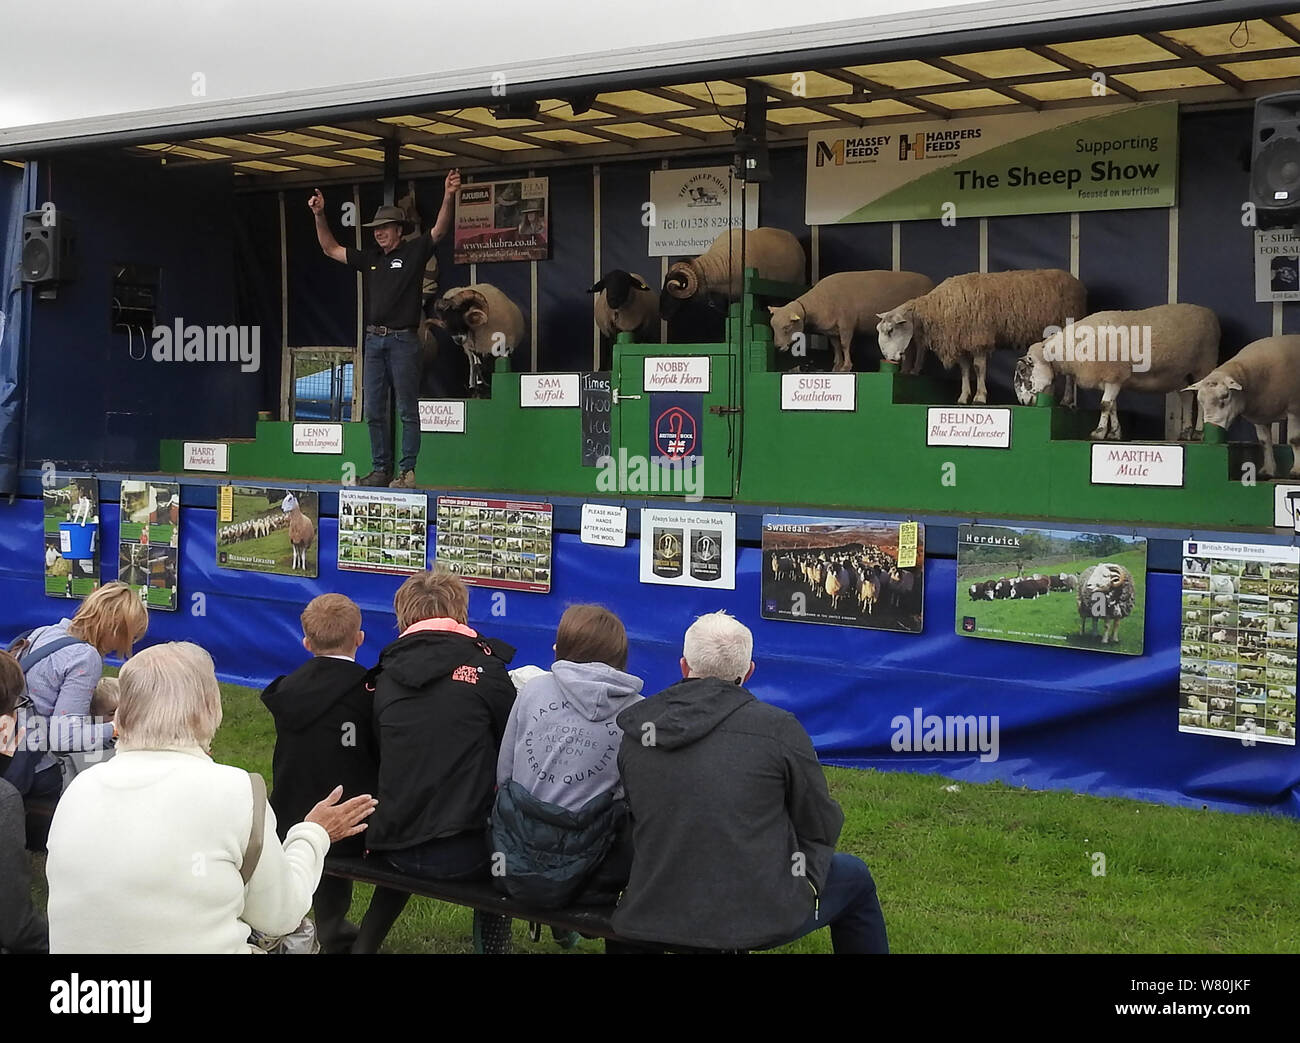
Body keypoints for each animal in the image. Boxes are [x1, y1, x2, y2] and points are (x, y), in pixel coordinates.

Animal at [873, 266, 1086, 403]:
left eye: (891, 330)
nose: (888, 357)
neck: (938, 308)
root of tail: (1076, 282)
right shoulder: (961, 341)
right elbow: (965, 370)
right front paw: (963, 397)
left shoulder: (978, 338)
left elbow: (978, 367)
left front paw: (980, 397)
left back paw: (1067, 400)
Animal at [1013, 300, 1216, 439]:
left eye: (1023, 372)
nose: (1023, 402)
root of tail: (1208, 312)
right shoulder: (1111, 380)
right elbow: (1112, 406)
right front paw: (1114, 433)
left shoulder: (1113, 374)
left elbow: (1104, 405)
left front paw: (1099, 432)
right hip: (1179, 374)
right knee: (1186, 396)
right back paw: (1186, 432)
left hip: (1204, 364)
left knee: (1200, 397)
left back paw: (1199, 433)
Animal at [1185, 335, 1300, 478]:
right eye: (1200, 401)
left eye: (1226, 395)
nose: (1212, 425)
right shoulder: (1261, 416)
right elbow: (1264, 442)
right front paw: (1268, 470)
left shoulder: (1294, 409)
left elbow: (1294, 440)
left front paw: (1296, 471)